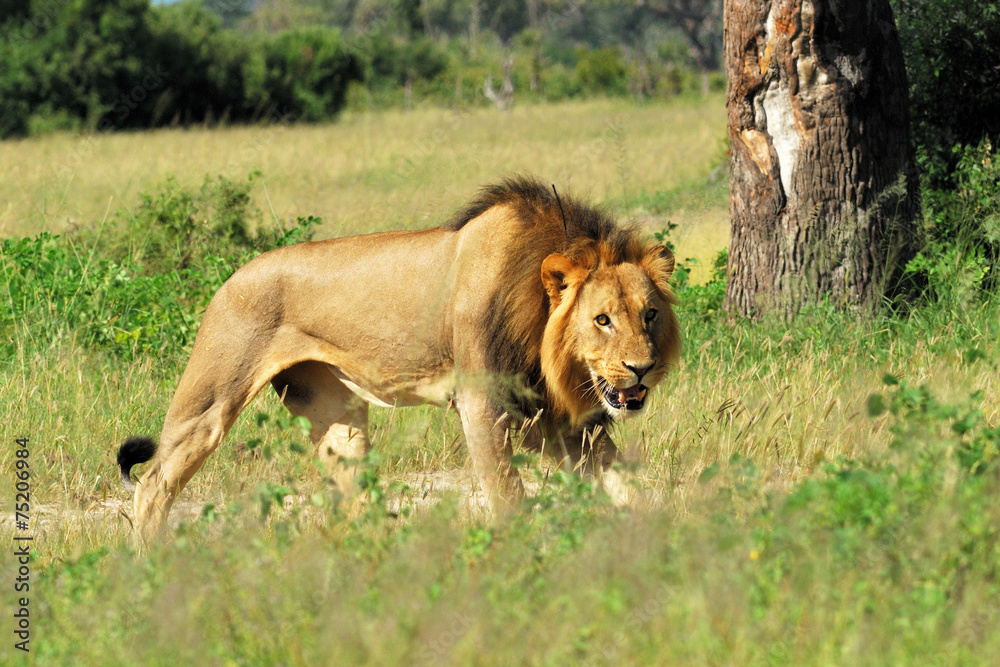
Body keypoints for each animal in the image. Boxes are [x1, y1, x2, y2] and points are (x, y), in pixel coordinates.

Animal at [117, 176, 680, 541]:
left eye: (649, 314)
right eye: (602, 320)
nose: (642, 367)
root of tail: (229, 277)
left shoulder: (558, 416)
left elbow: (623, 484)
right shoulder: (482, 402)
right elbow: (508, 498)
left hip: (335, 414)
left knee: (353, 498)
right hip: (210, 400)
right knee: (153, 485)